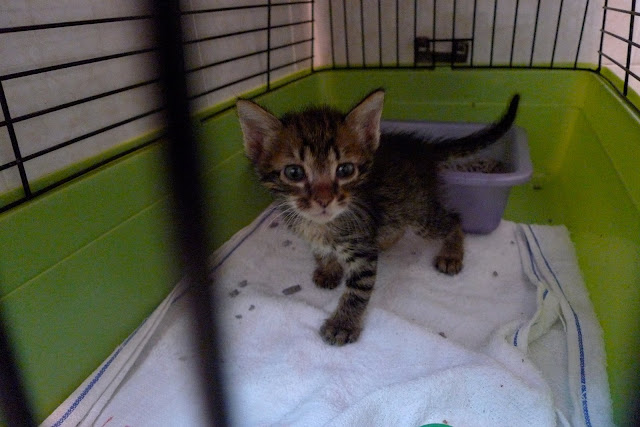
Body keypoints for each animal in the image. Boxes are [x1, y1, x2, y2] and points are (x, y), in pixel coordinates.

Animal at [236, 90, 519, 346]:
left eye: (345, 170)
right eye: (294, 172)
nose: (324, 199)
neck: (321, 225)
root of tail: (421, 148)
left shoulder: (361, 249)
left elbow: (358, 290)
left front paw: (343, 324)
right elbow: (321, 250)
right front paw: (328, 268)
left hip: (419, 212)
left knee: (453, 218)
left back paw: (451, 253)